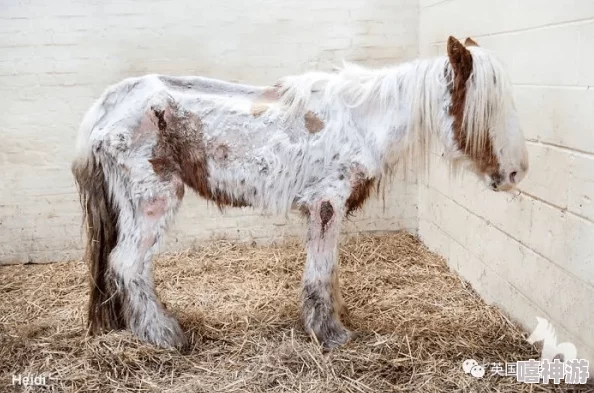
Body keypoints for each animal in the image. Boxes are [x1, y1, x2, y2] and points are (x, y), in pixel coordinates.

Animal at [71, 36, 528, 348]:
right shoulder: (326, 205)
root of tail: (108, 106)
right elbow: (320, 271)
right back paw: (164, 335)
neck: (362, 121)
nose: (516, 172)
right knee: (127, 264)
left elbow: (330, 270)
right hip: (153, 201)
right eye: (485, 107)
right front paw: (330, 334)